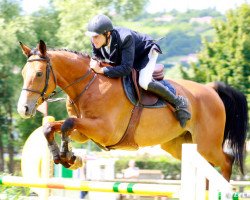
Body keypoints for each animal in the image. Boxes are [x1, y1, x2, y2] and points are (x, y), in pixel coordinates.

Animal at [17, 39, 248, 180]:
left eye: (39, 74)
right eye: (22, 73)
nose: (23, 109)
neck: (88, 85)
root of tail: (211, 89)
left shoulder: (105, 130)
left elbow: (67, 123)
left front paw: (68, 156)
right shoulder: (85, 132)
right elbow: (53, 127)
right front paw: (63, 156)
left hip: (207, 144)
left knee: (226, 161)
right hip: (181, 146)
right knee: (206, 167)